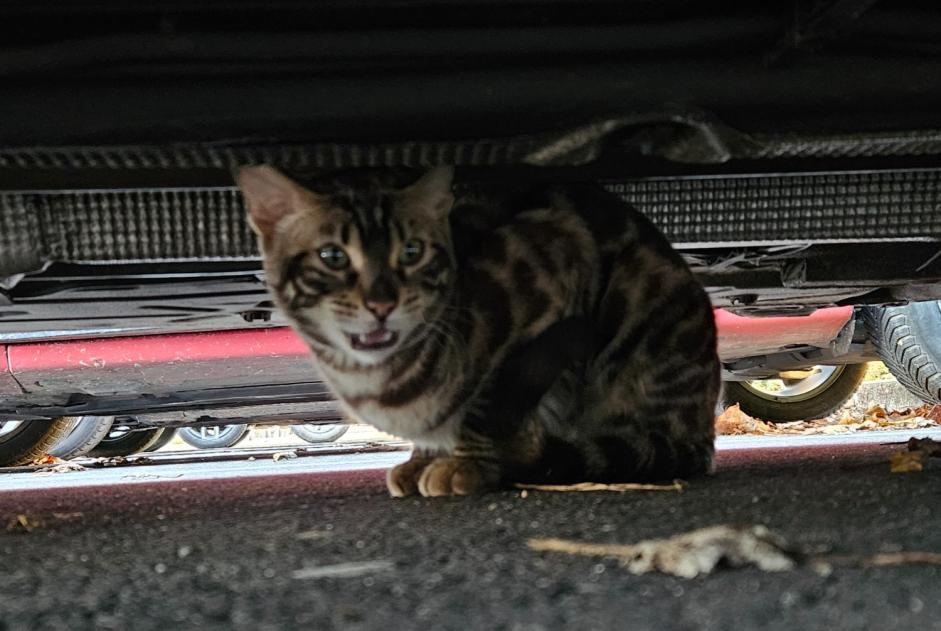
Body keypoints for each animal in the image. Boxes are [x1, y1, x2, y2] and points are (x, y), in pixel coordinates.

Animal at [237, 165, 720, 496]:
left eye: (411, 252)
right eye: (333, 256)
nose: (381, 304)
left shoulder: (559, 259)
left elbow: (486, 402)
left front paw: (467, 462)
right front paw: (424, 457)